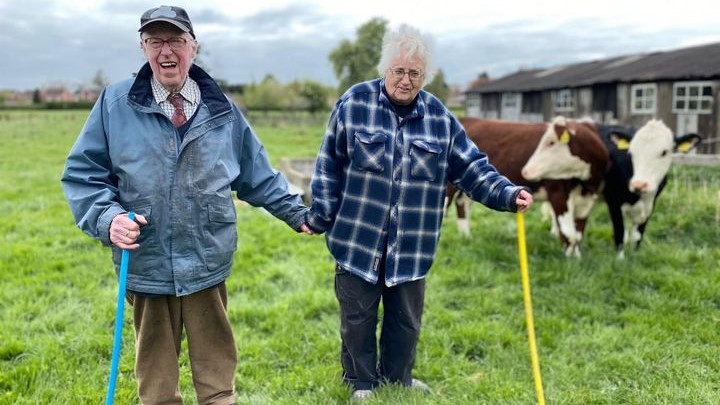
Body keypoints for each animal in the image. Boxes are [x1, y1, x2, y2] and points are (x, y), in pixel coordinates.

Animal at [448, 117, 612, 256]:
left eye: (551, 143)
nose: (526, 170)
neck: (584, 183)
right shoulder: (557, 194)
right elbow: (569, 233)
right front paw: (569, 260)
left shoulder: (588, 200)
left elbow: (578, 234)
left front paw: (576, 258)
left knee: (463, 204)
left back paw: (466, 237)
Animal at [596, 120, 704, 258]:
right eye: (631, 152)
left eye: (664, 152)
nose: (639, 184)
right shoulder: (613, 201)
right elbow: (620, 234)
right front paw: (620, 259)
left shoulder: (650, 205)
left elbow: (637, 236)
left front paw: (634, 258)